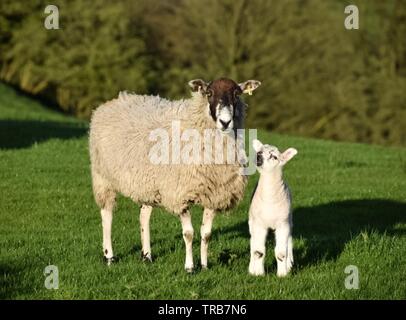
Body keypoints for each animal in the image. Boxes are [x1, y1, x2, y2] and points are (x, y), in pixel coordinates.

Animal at [247, 139, 298, 276]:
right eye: (259, 151)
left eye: (274, 157)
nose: (258, 156)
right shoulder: (259, 224)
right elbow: (258, 251)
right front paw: (258, 274)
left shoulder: (282, 224)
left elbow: (281, 253)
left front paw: (283, 274)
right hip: (251, 221)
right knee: (252, 243)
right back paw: (251, 268)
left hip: (289, 219)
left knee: (289, 240)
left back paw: (289, 264)